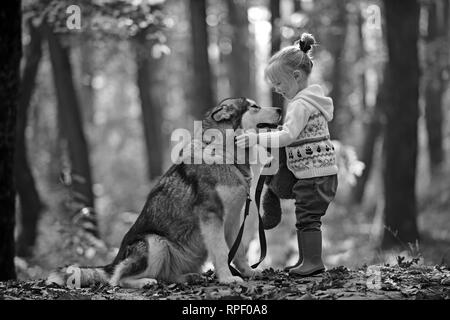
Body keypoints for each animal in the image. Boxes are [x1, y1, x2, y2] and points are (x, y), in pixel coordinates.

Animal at [49, 97, 282, 288]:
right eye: (254, 106)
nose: (280, 108)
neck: (225, 154)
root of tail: (114, 260)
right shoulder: (212, 216)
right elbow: (222, 251)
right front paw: (227, 278)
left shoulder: (233, 219)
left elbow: (239, 251)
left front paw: (249, 272)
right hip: (155, 243)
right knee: (118, 279)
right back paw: (145, 282)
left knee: (164, 275)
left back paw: (188, 277)